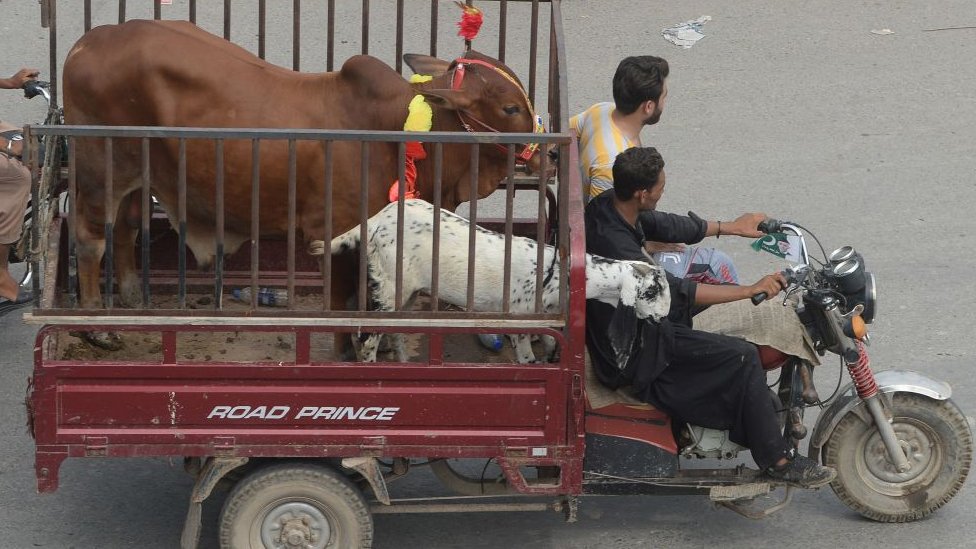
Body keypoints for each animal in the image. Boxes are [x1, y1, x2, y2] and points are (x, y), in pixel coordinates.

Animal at [62, 20, 548, 346]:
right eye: (509, 108)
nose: (551, 154)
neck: (399, 129)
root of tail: (85, 43)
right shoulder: (332, 235)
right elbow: (342, 308)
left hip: (139, 172)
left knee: (126, 227)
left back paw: (130, 298)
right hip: (100, 166)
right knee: (89, 238)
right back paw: (96, 326)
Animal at [306, 198, 672, 364]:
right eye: (653, 291)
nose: (665, 317)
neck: (560, 274)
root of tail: (376, 219)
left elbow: (552, 343)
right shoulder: (521, 319)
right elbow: (527, 357)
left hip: (406, 290)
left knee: (395, 331)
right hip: (389, 284)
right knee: (367, 337)